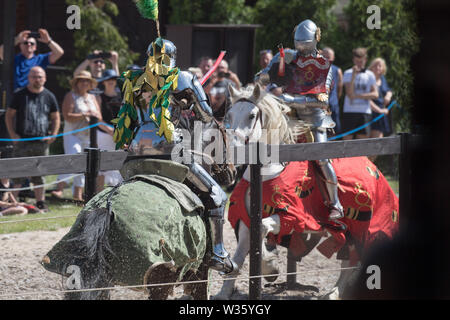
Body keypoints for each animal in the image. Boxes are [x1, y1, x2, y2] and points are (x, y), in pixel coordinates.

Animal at [215, 84, 400, 300]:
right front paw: (224, 293)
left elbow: (262, 228)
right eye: (230, 114)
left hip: (364, 227)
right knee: (349, 259)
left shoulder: (292, 215)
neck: (269, 170)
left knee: (353, 261)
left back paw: (335, 292)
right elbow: (240, 256)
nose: (233, 150)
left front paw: (269, 266)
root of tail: (374, 168)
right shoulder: (246, 217)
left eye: (252, 115)